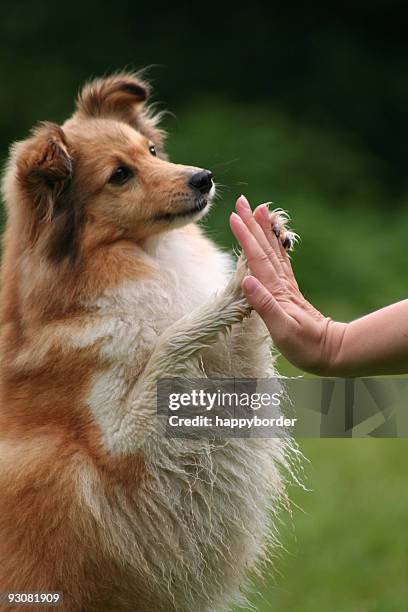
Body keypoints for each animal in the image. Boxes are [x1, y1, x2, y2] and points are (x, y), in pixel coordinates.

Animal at [0, 73, 294, 612]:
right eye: (120, 174)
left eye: (152, 150)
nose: (203, 178)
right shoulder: (119, 448)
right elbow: (170, 343)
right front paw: (232, 286)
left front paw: (266, 253)